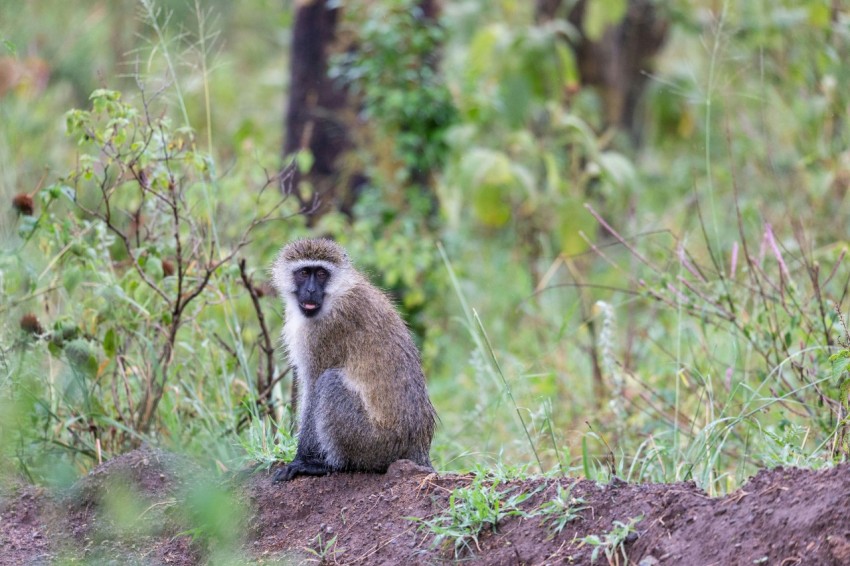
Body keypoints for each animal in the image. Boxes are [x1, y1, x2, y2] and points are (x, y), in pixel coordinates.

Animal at [270, 240, 434, 484]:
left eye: (321, 273)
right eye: (304, 273)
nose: (311, 290)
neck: (336, 294)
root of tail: (417, 448)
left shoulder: (327, 331)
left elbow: (314, 385)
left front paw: (300, 460)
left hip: (374, 444)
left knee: (329, 383)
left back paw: (332, 465)